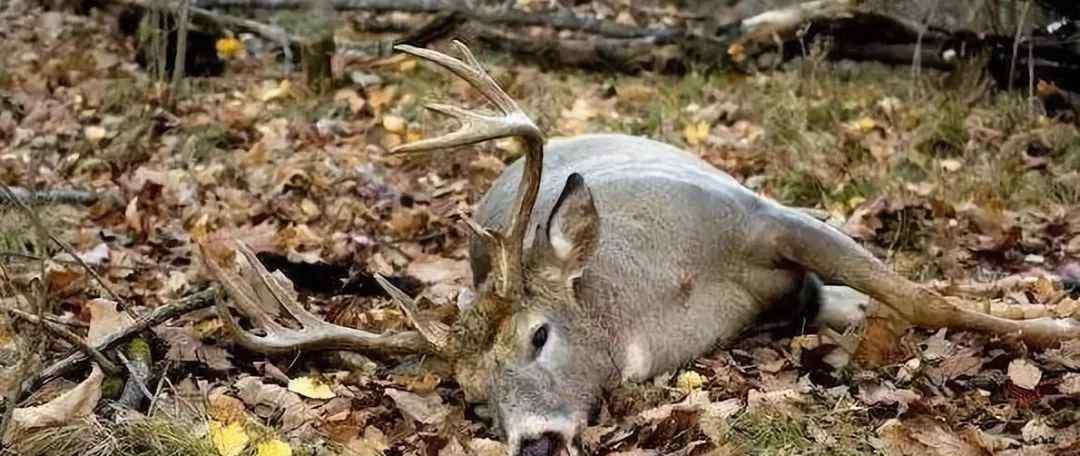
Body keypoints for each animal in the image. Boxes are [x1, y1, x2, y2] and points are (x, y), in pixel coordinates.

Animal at [202, 41, 1080, 456]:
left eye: (540, 335)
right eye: (472, 396)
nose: (535, 441)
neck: (664, 295)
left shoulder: (767, 216)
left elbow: (920, 295)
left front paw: (1054, 329)